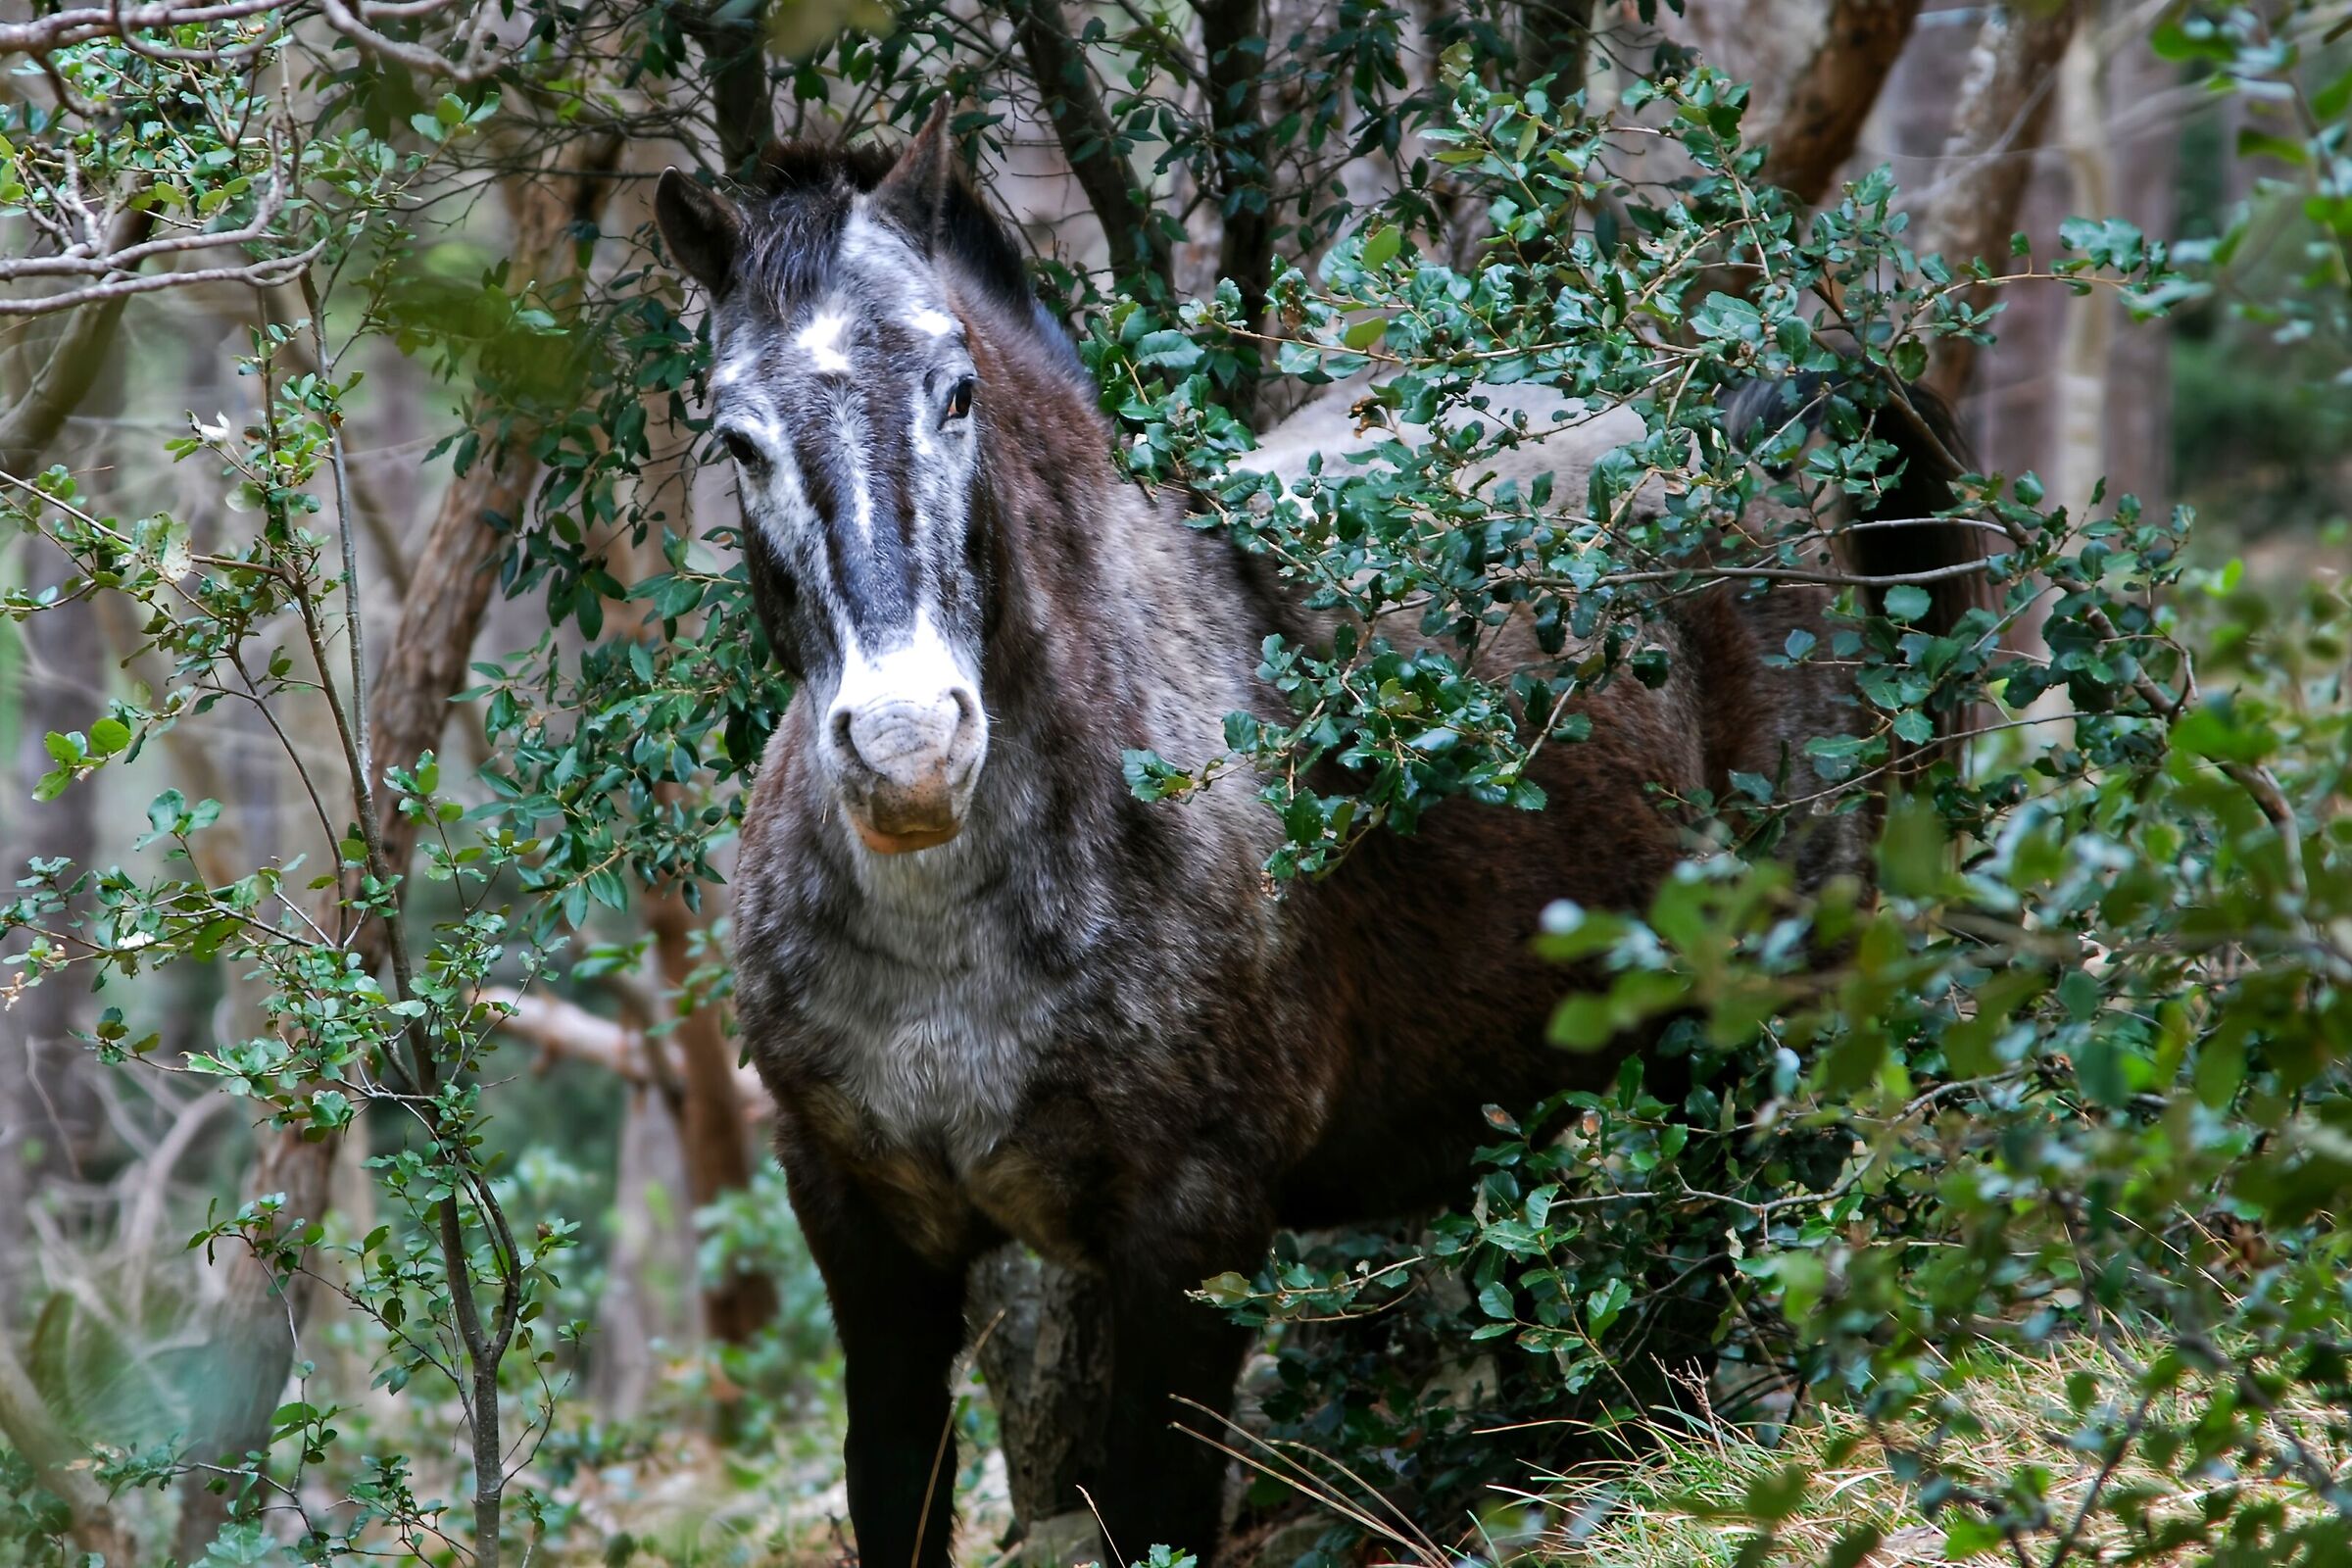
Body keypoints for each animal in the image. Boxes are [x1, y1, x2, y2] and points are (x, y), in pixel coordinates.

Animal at [652, 108, 1975, 1563]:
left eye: (957, 392)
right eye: (736, 439)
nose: (907, 750)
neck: (954, 941)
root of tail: (1758, 421)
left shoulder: (1190, 1234)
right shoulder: (864, 1234)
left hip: (1790, 974)